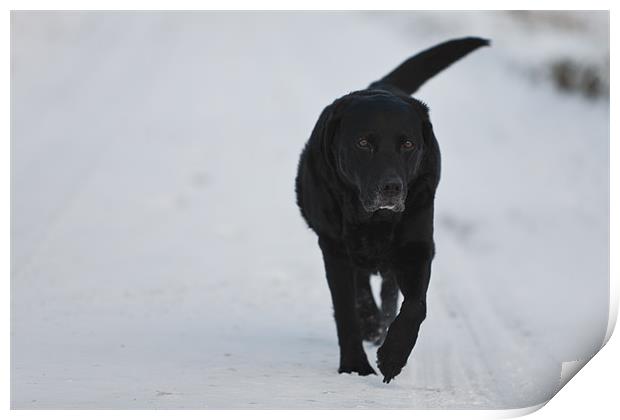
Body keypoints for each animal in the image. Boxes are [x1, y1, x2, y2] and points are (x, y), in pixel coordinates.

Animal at [296, 37, 490, 382]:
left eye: (408, 144)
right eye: (363, 143)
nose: (392, 188)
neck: (374, 218)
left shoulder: (417, 245)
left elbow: (416, 305)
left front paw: (393, 355)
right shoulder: (333, 246)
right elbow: (345, 309)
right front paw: (355, 365)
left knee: (389, 285)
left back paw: (382, 323)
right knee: (363, 284)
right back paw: (372, 324)